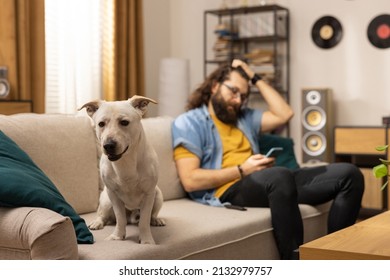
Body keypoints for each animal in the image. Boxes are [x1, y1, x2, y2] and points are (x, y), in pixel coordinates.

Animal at [80, 95, 165, 244]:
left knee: (150, 215)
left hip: (158, 195)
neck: (125, 161)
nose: (108, 145)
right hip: (106, 200)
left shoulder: (149, 194)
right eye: (101, 124)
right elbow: (120, 219)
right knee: (103, 215)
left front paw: (146, 240)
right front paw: (117, 236)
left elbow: (144, 221)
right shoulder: (113, 194)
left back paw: (156, 220)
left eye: (124, 122)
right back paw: (97, 222)